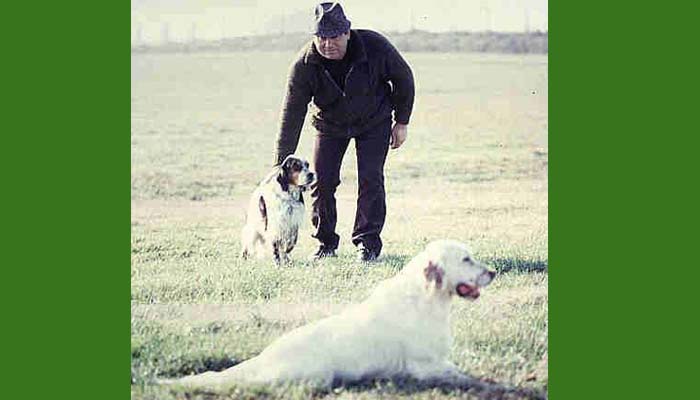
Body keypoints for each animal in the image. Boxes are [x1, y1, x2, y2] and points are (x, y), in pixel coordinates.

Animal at [165, 239, 498, 390]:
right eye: (466, 259)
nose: (493, 273)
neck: (428, 299)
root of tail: (266, 356)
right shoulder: (425, 366)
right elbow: (467, 377)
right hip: (313, 375)